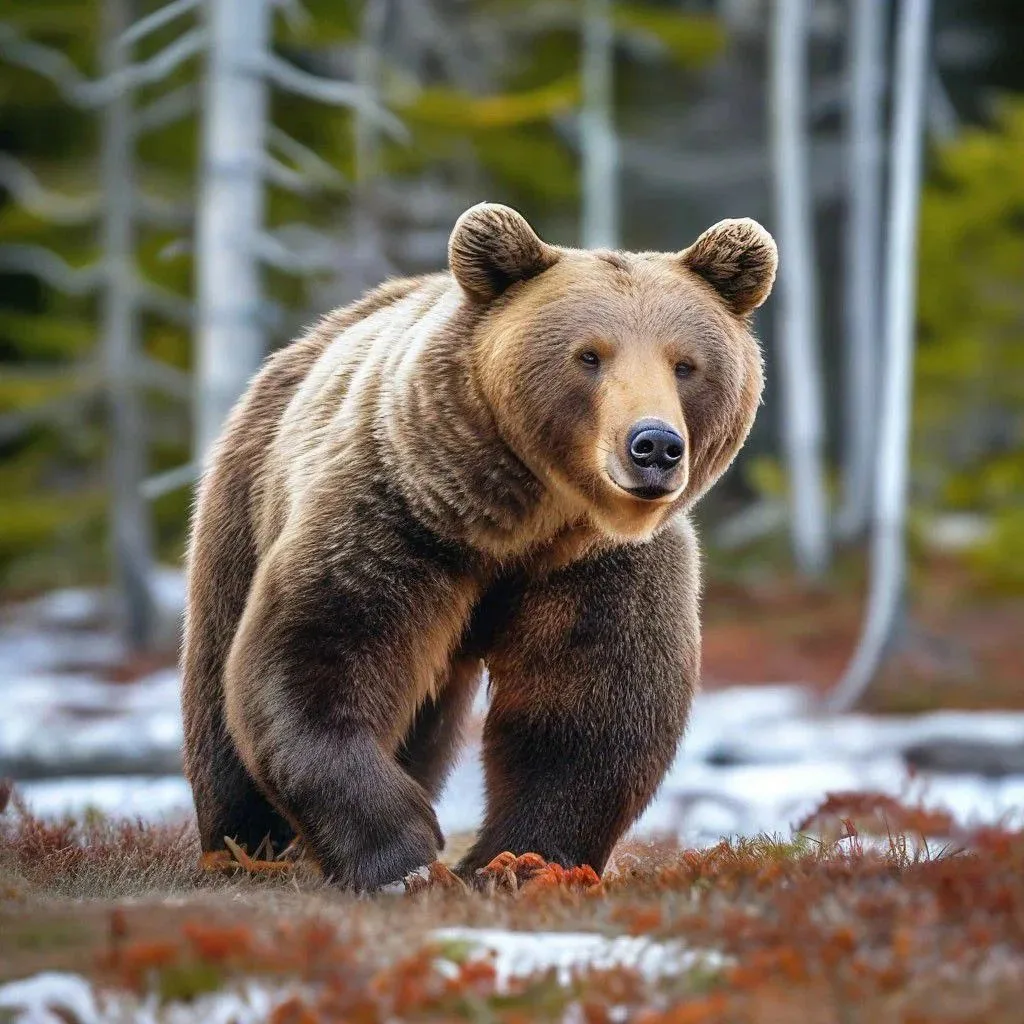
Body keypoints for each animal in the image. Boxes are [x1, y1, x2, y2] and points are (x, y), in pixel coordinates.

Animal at [181, 202, 775, 890]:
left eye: (686, 363)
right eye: (588, 356)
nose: (654, 445)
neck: (518, 523)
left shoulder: (599, 563)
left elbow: (588, 709)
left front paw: (521, 860)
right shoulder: (397, 518)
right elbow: (318, 658)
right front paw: (400, 859)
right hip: (248, 490)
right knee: (219, 666)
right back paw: (243, 846)